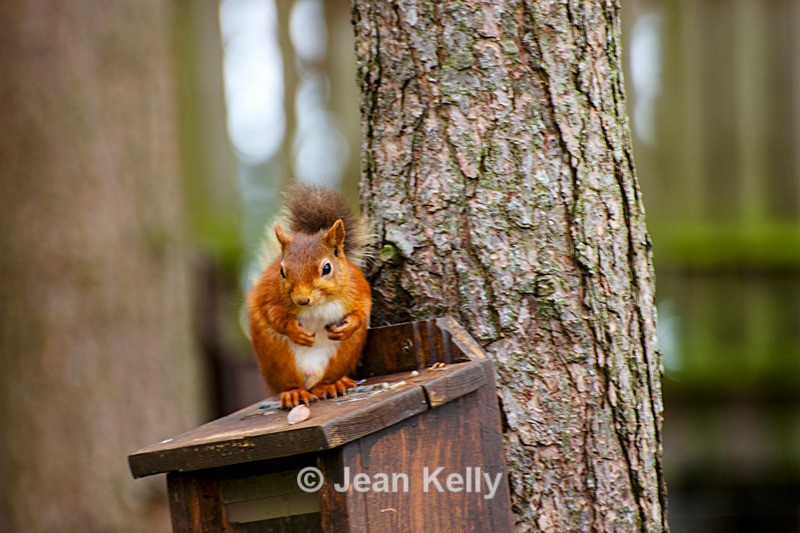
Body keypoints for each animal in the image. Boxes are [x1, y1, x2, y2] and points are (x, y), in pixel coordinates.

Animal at [247, 186, 372, 409]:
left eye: (327, 268)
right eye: (282, 271)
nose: (302, 300)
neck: (318, 305)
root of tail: (311, 377)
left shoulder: (359, 289)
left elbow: (362, 310)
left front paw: (349, 326)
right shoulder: (268, 295)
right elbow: (272, 314)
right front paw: (296, 331)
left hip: (343, 356)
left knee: (326, 380)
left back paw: (333, 385)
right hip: (278, 359)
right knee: (291, 383)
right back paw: (294, 393)